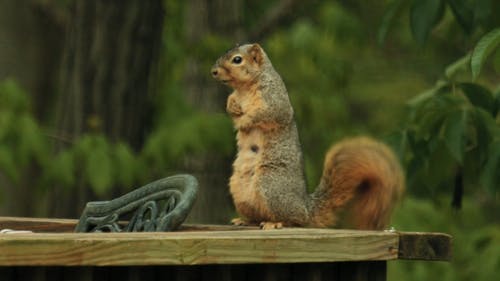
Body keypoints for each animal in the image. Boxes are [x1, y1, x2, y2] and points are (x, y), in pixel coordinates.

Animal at [210, 42, 402, 229]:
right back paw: (246, 220)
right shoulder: (238, 95)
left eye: (237, 59)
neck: (244, 88)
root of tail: (305, 207)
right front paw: (232, 107)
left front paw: (244, 122)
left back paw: (276, 222)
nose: (214, 71)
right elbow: (231, 101)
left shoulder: (274, 99)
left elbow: (268, 113)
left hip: (270, 185)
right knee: (259, 215)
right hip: (239, 188)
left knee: (295, 219)